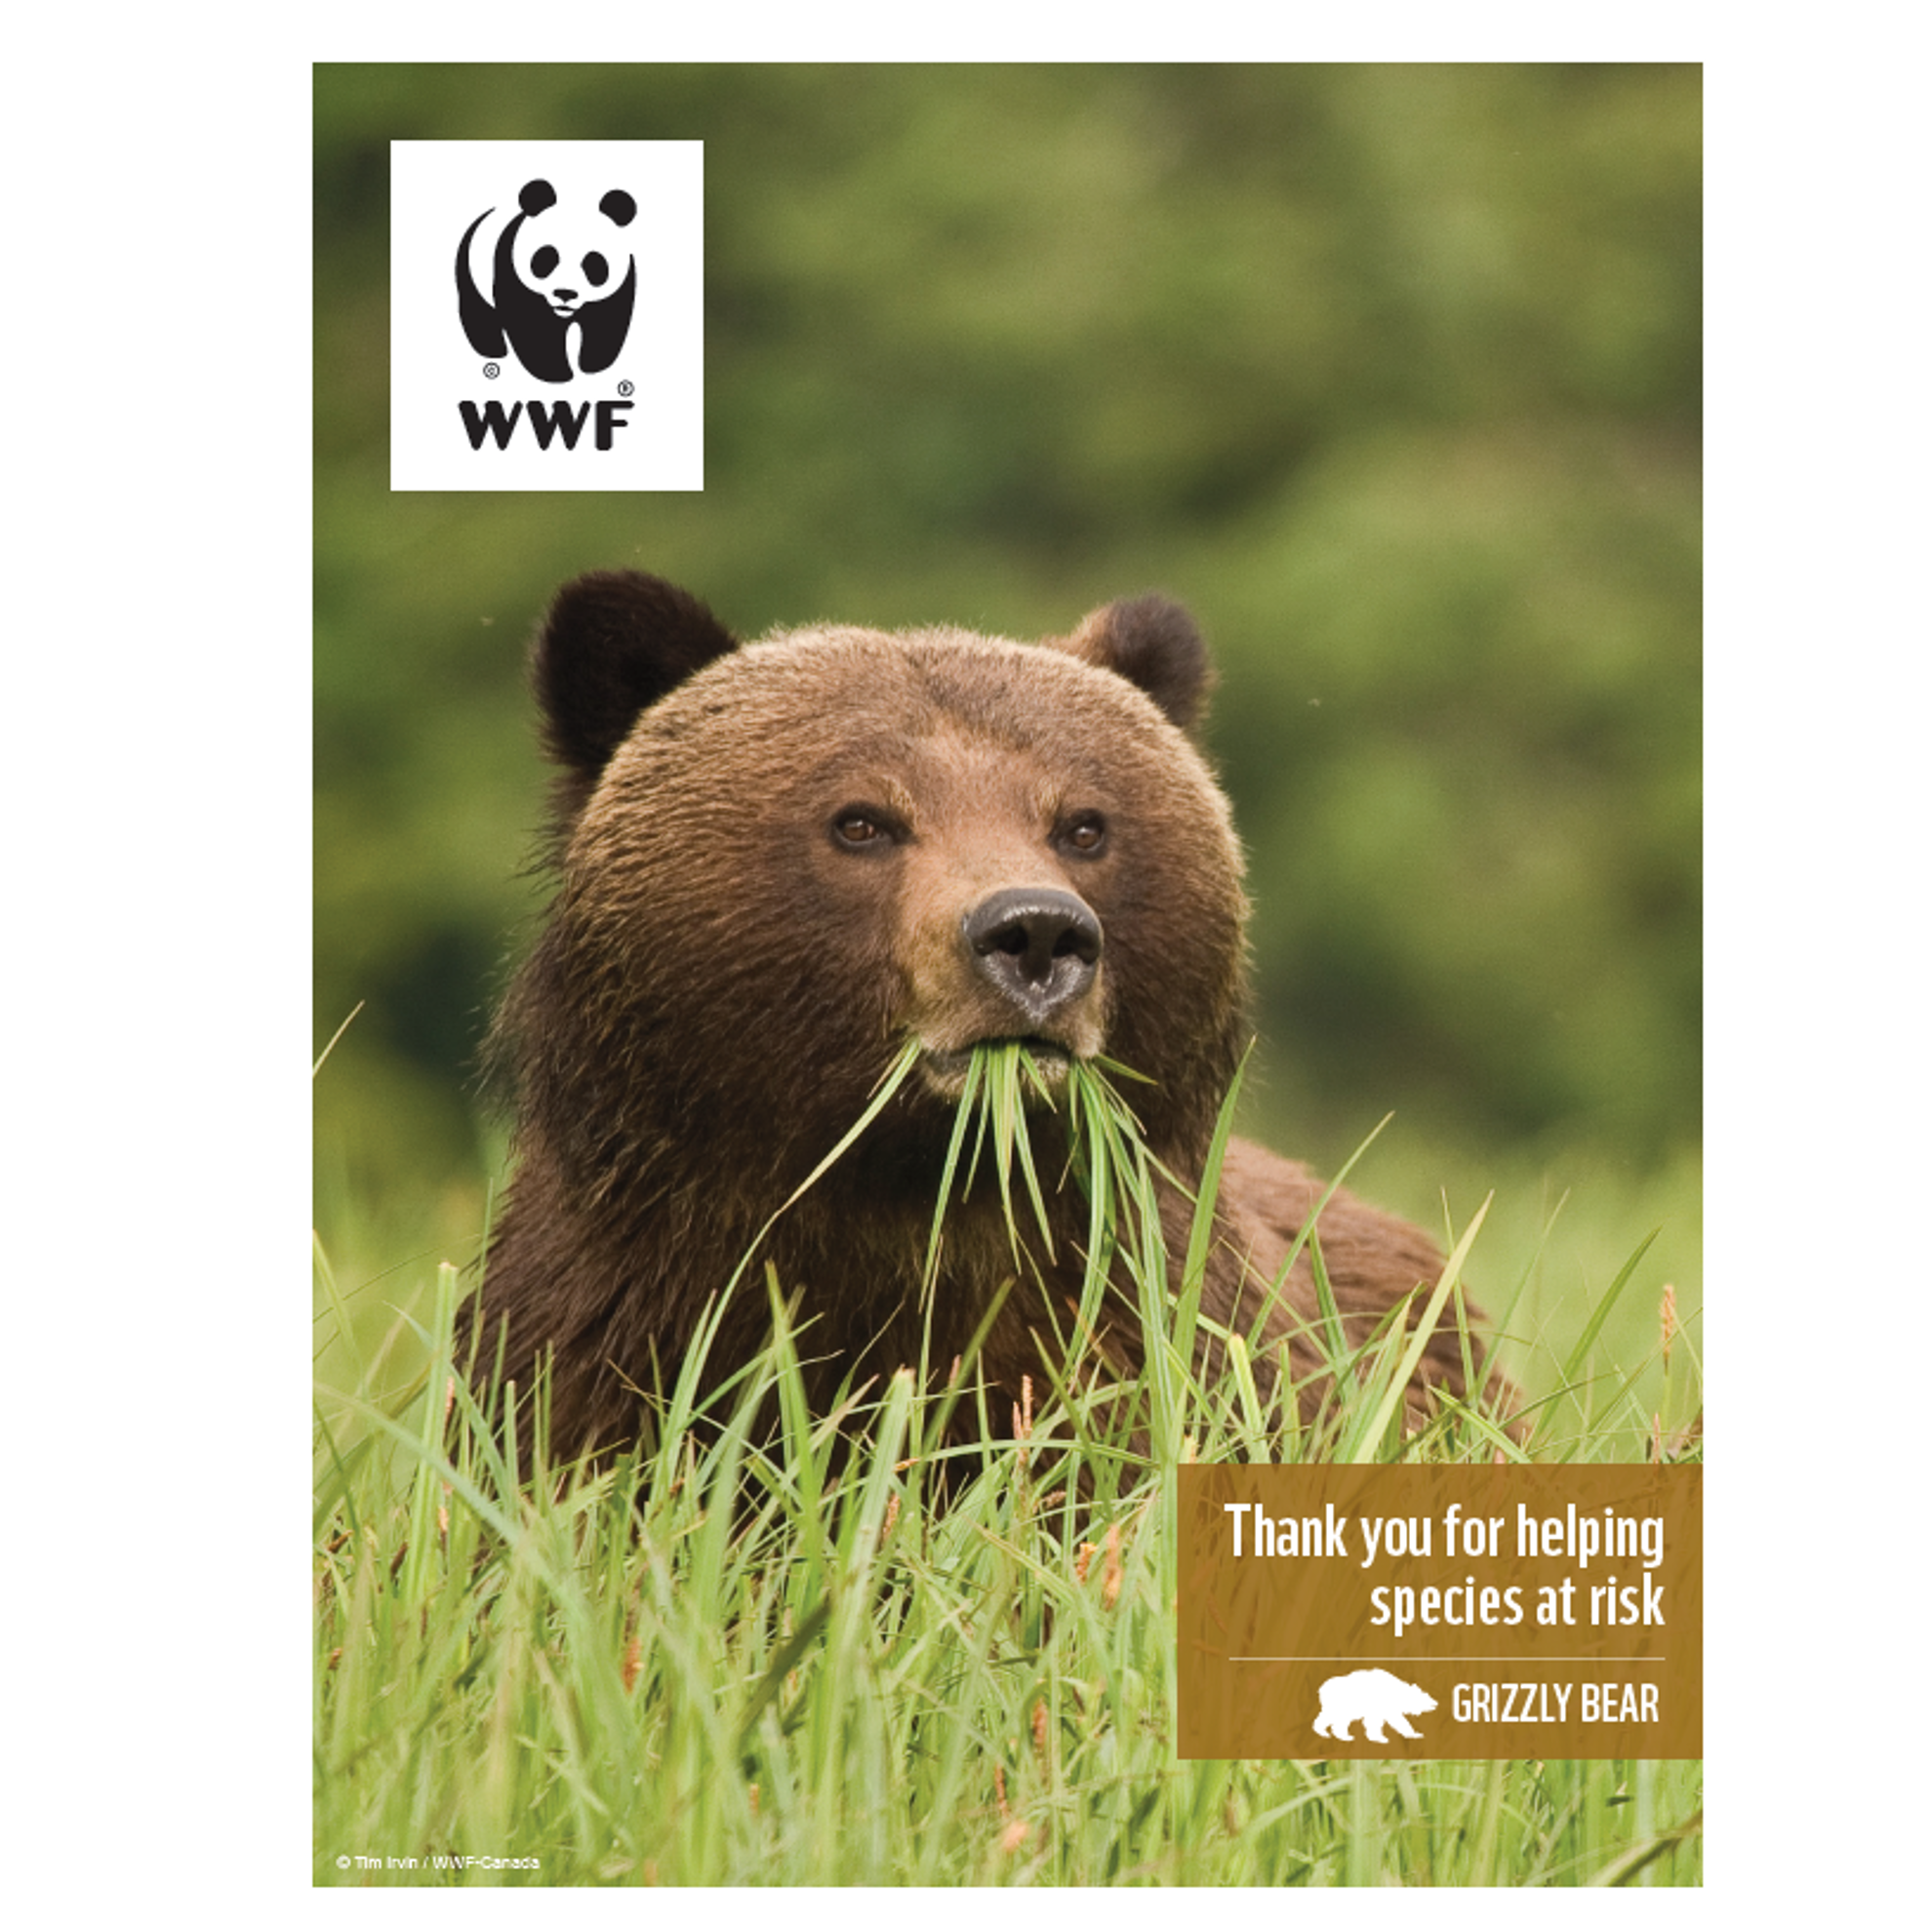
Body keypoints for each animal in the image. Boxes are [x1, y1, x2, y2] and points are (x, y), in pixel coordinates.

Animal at [456, 178, 638, 384]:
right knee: (477, 310)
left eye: (594, 264)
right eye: (546, 258)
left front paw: (592, 366)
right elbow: (534, 327)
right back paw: (493, 351)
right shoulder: (513, 273)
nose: (565, 293)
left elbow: (606, 322)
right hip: (470, 268)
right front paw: (557, 374)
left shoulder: (619, 286)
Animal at [466, 569, 1517, 1467]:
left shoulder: (1160, 1347)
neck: (915, 1204)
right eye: (862, 820)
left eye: (1083, 823)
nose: (1036, 933)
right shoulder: (606, 1337)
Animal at [1312, 1669, 1438, 1744]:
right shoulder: (1381, 1707)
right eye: (1425, 1697)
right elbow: (1396, 1721)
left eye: (1427, 1694)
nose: (1436, 1703)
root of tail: (1322, 1688)